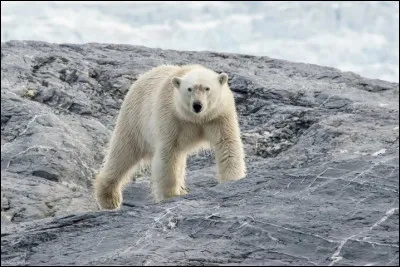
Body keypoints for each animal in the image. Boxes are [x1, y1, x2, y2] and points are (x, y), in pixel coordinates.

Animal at [94, 63, 247, 210]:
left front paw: (232, 180)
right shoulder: (171, 116)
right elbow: (168, 152)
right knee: (123, 152)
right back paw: (109, 198)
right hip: (135, 118)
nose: (197, 105)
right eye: (189, 89)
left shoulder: (219, 116)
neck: (196, 118)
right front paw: (170, 195)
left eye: (207, 88)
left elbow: (227, 144)